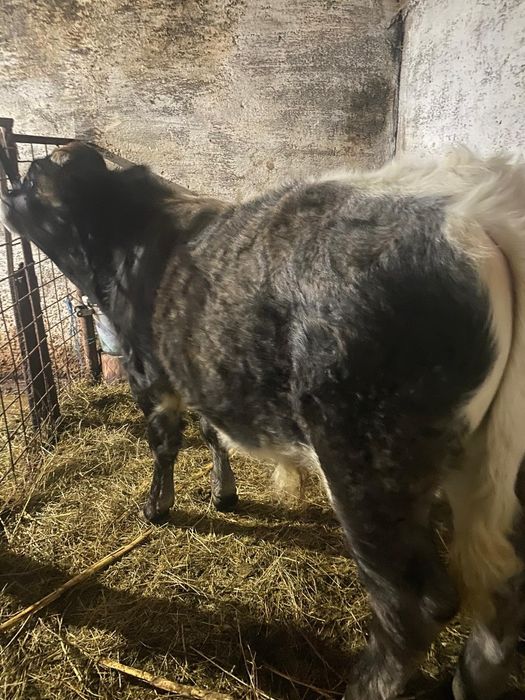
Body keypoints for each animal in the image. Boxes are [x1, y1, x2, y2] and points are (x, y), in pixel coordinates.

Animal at [2, 141, 525, 700]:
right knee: (504, 592)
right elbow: (211, 432)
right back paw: (469, 683)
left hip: (365, 456)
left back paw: (364, 684)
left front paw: (156, 507)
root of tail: (469, 204)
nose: (7, 196)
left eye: (32, 179)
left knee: (414, 604)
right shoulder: (201, 369)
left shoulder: (150, 373)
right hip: (489, 467)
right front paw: (222, 493)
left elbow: (165, 443)